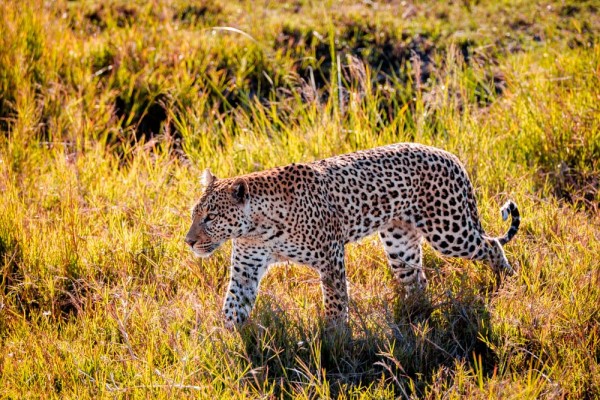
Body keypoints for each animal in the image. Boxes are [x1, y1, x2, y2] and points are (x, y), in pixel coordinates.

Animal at [185, 142, 516, 330]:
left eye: (210, 217)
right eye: (194, 214)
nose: (189, 241)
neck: (258, 229)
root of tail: (449, 155)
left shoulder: (330, 256)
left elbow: (335, 300)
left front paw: (334, 338)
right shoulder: (246, 267)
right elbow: (233, 305)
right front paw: (228, 343)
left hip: (449, 230)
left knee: (491, 245)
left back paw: (506, 281)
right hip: (399, 243)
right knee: (418, 279)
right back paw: (415, 316)